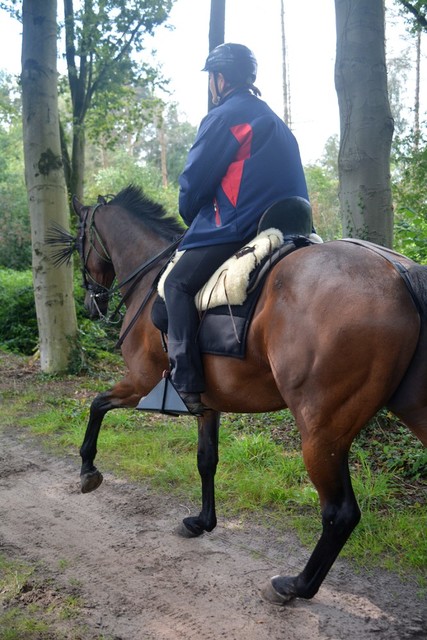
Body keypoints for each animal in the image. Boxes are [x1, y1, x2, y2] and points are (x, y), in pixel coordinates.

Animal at [64, 185, 427, 604]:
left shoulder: (139, 382)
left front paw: (87, 469)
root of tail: (399, 272)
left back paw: (295, 586)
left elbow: (96, 405)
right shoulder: (205, 404)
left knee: (340, 512)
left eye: (79, 241)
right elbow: (206, 460)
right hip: (410, 410)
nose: (90, 305)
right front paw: (201, 522)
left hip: (322, 433)